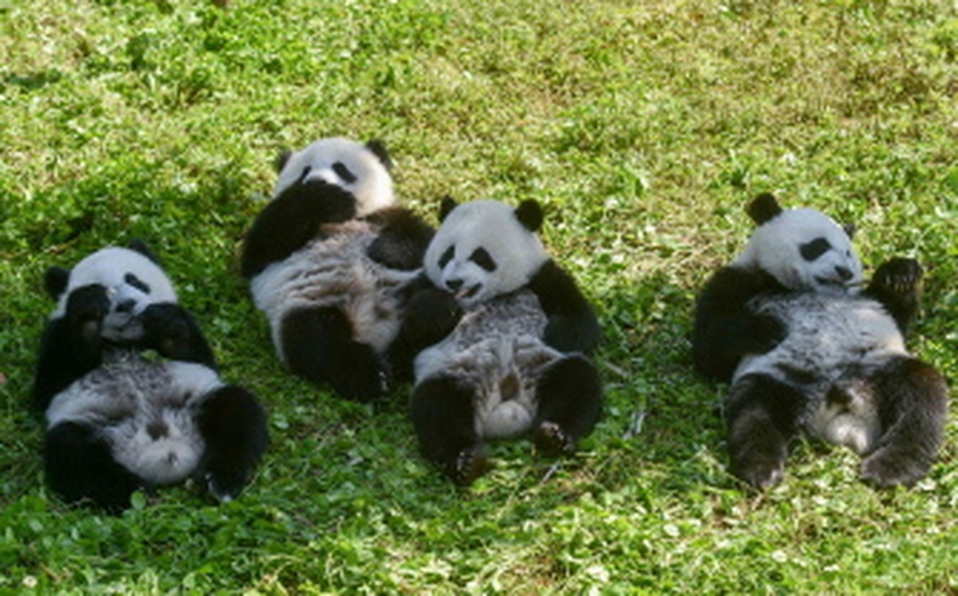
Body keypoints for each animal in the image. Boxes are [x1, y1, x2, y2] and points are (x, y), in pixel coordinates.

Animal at [33, 242, 268, 512]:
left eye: (134, 279)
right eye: (105, 291)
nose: (127, 304)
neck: (128, 341)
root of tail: (166, 452)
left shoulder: (186, 326)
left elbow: (199, 356)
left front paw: (163, 323)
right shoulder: (55, 334)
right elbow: (49, 385)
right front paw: (88, 313)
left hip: (197, 403)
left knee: (237, 411)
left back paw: (218, 481)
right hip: (96, 425)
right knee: (74, 455)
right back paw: (137, 493)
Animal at [240, 137, 434, 402]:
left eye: (340, 168)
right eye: (304, 172)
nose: (317, 180)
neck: (341, 220)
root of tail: (379, 334)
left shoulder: (385, 215)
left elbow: (422, 239)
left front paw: (385, 251)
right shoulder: (268, 256)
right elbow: (261, 247)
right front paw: (320, 196)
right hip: (311, 303)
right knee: (316, 341)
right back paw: (374, 375)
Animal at [392, 197, 603, 485]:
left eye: (480, 256)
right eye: (447, 254)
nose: (453, 281)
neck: (485, 298)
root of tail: (506, 407)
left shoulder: (541, 278)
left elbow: (582, 322)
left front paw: (556, 334)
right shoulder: (421, 287)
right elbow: (404, 347)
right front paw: (439, 307)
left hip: (543, 365)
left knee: (577, 381)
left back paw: (555, 435)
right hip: (460, 372)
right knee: (438, 405)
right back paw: (467, 460)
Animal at [693, 193, 948, 489]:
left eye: (848, 252)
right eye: (817, 245)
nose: (845, 271)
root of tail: (839, 408)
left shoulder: (867, 304)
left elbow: (896, 316)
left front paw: (901, 275)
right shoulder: (739, 279)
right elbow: (709, 350)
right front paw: (768, 329)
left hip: (878, 367)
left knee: (921, 401)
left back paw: (889, 469)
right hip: (783, 379)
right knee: (753, 413)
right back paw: (761, 469)